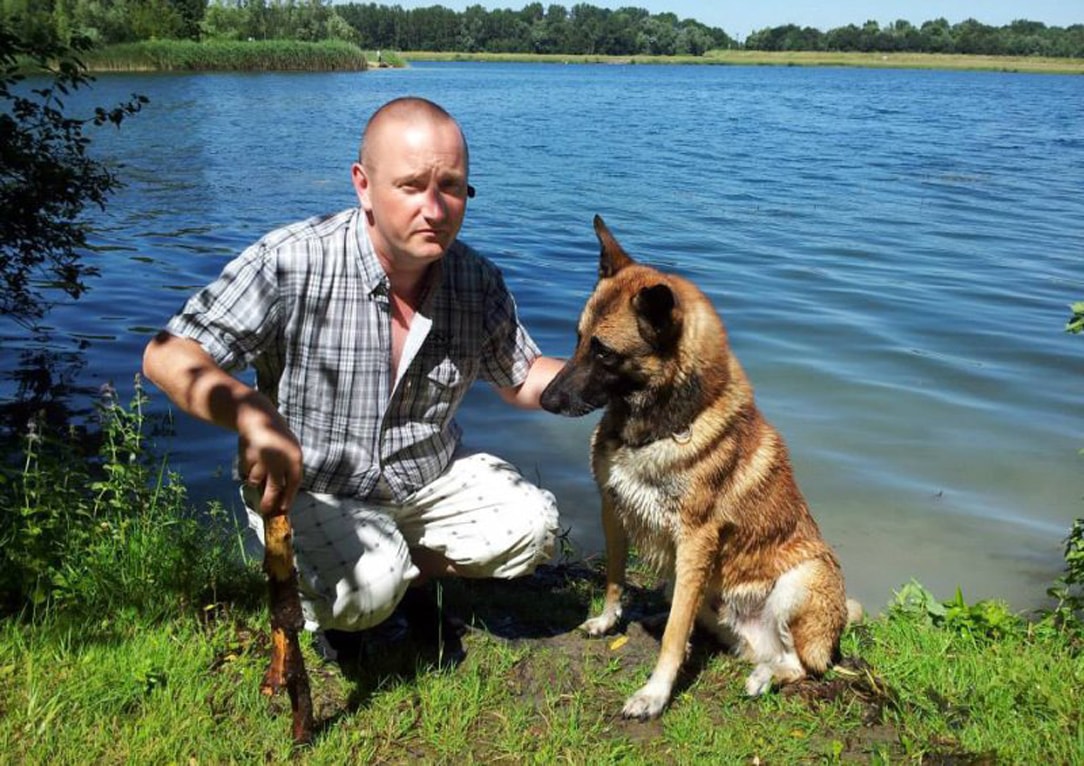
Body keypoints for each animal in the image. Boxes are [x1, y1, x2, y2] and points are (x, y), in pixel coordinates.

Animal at [537, 218, 858, 723]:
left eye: (604, 353)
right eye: (578, 340)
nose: (545, 399)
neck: (663, 425)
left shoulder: (695, 541)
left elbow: (673, 637)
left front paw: (654, 694)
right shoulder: (613, 510)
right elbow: (614, 577)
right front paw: (609, 620)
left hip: (802, 580)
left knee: (803, 664)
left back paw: (765, 677)